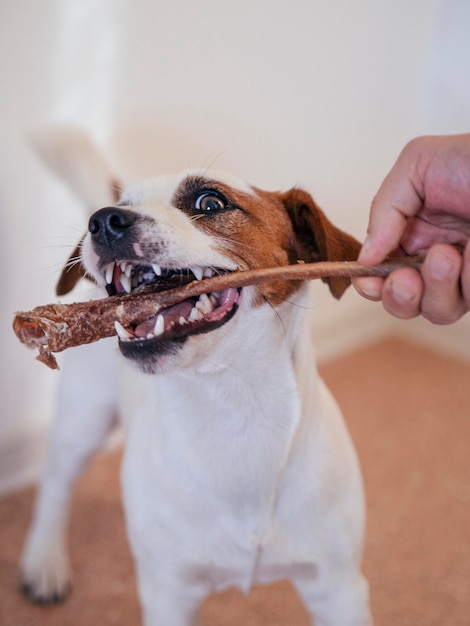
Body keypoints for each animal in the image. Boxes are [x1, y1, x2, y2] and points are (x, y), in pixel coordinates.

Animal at [20, 129, 372, 620]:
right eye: (121, 205)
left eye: (210, 202)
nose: (103, 220)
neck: (234, 406)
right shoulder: (169, 593)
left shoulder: (338, 589)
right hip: (83, 420)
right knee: (55, 482)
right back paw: (44, 560)